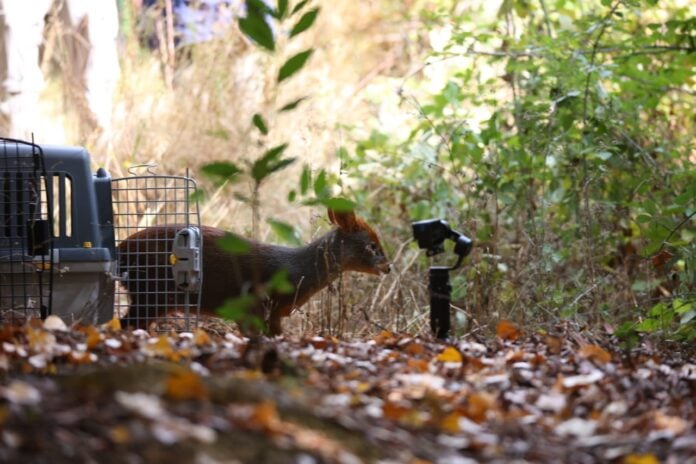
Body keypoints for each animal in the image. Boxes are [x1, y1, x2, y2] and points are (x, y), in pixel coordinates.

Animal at [117, 209, 388, 334]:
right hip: (152, 292)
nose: (388, 266)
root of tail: (119, 252)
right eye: (372, 245)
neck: (298, 271)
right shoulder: (259, 305)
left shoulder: (270, 313)